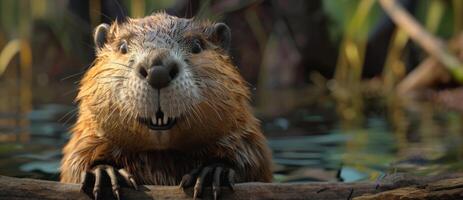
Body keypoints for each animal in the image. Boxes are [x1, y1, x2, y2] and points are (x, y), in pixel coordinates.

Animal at [59, 12, 274, 200]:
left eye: (197, 45)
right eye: (123, 46)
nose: (158, 70)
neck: (162, 157)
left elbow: (253, 160)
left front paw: (214, 172)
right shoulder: (86, 136)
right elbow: (75, 162)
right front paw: (104, 173)